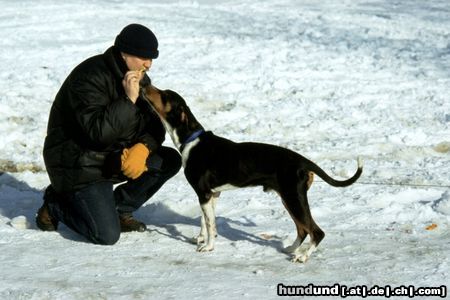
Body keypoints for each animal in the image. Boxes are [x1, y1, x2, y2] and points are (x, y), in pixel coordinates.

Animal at [142, 85, 364, 262]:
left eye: (164, 95)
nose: (145, 83)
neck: (191, 140)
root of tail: (303, 161)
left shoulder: (203, 193)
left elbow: (210, 224)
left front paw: (208, 247)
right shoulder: (212, 194)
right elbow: (205, 222)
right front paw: (201, 239)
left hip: (294, 199)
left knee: (316, 232)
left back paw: (302, 257)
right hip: (289, 199)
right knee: (302, 229)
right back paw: (291, 249)